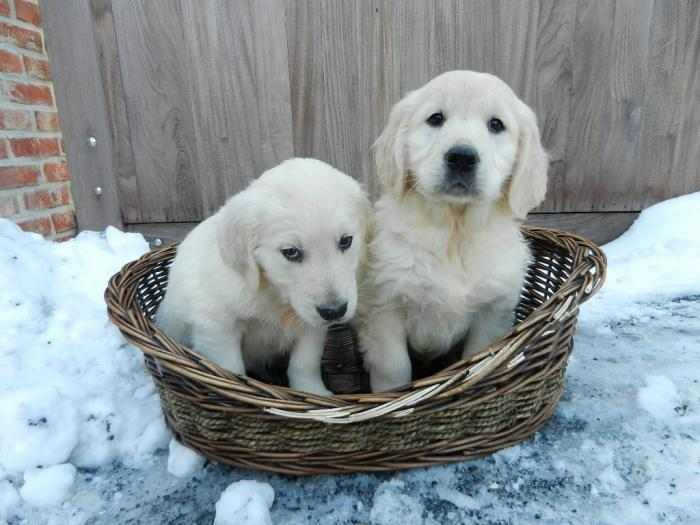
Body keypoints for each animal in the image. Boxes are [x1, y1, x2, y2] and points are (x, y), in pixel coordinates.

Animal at [155, 158, 370, 396]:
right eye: (291, 252)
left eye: (346, 241)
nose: (334, 311)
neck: (274, 294)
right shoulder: (216, 327)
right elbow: (231, 370)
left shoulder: (311, 326)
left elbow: (304, 363)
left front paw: (313, 392)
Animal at [360, 69, 548, 390]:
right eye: (435, 119)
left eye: (496, 124)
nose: (462, 157)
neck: (454, 230)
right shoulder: (385, 305)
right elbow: (394, 367)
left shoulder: (492, 310)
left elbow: (476, 358)